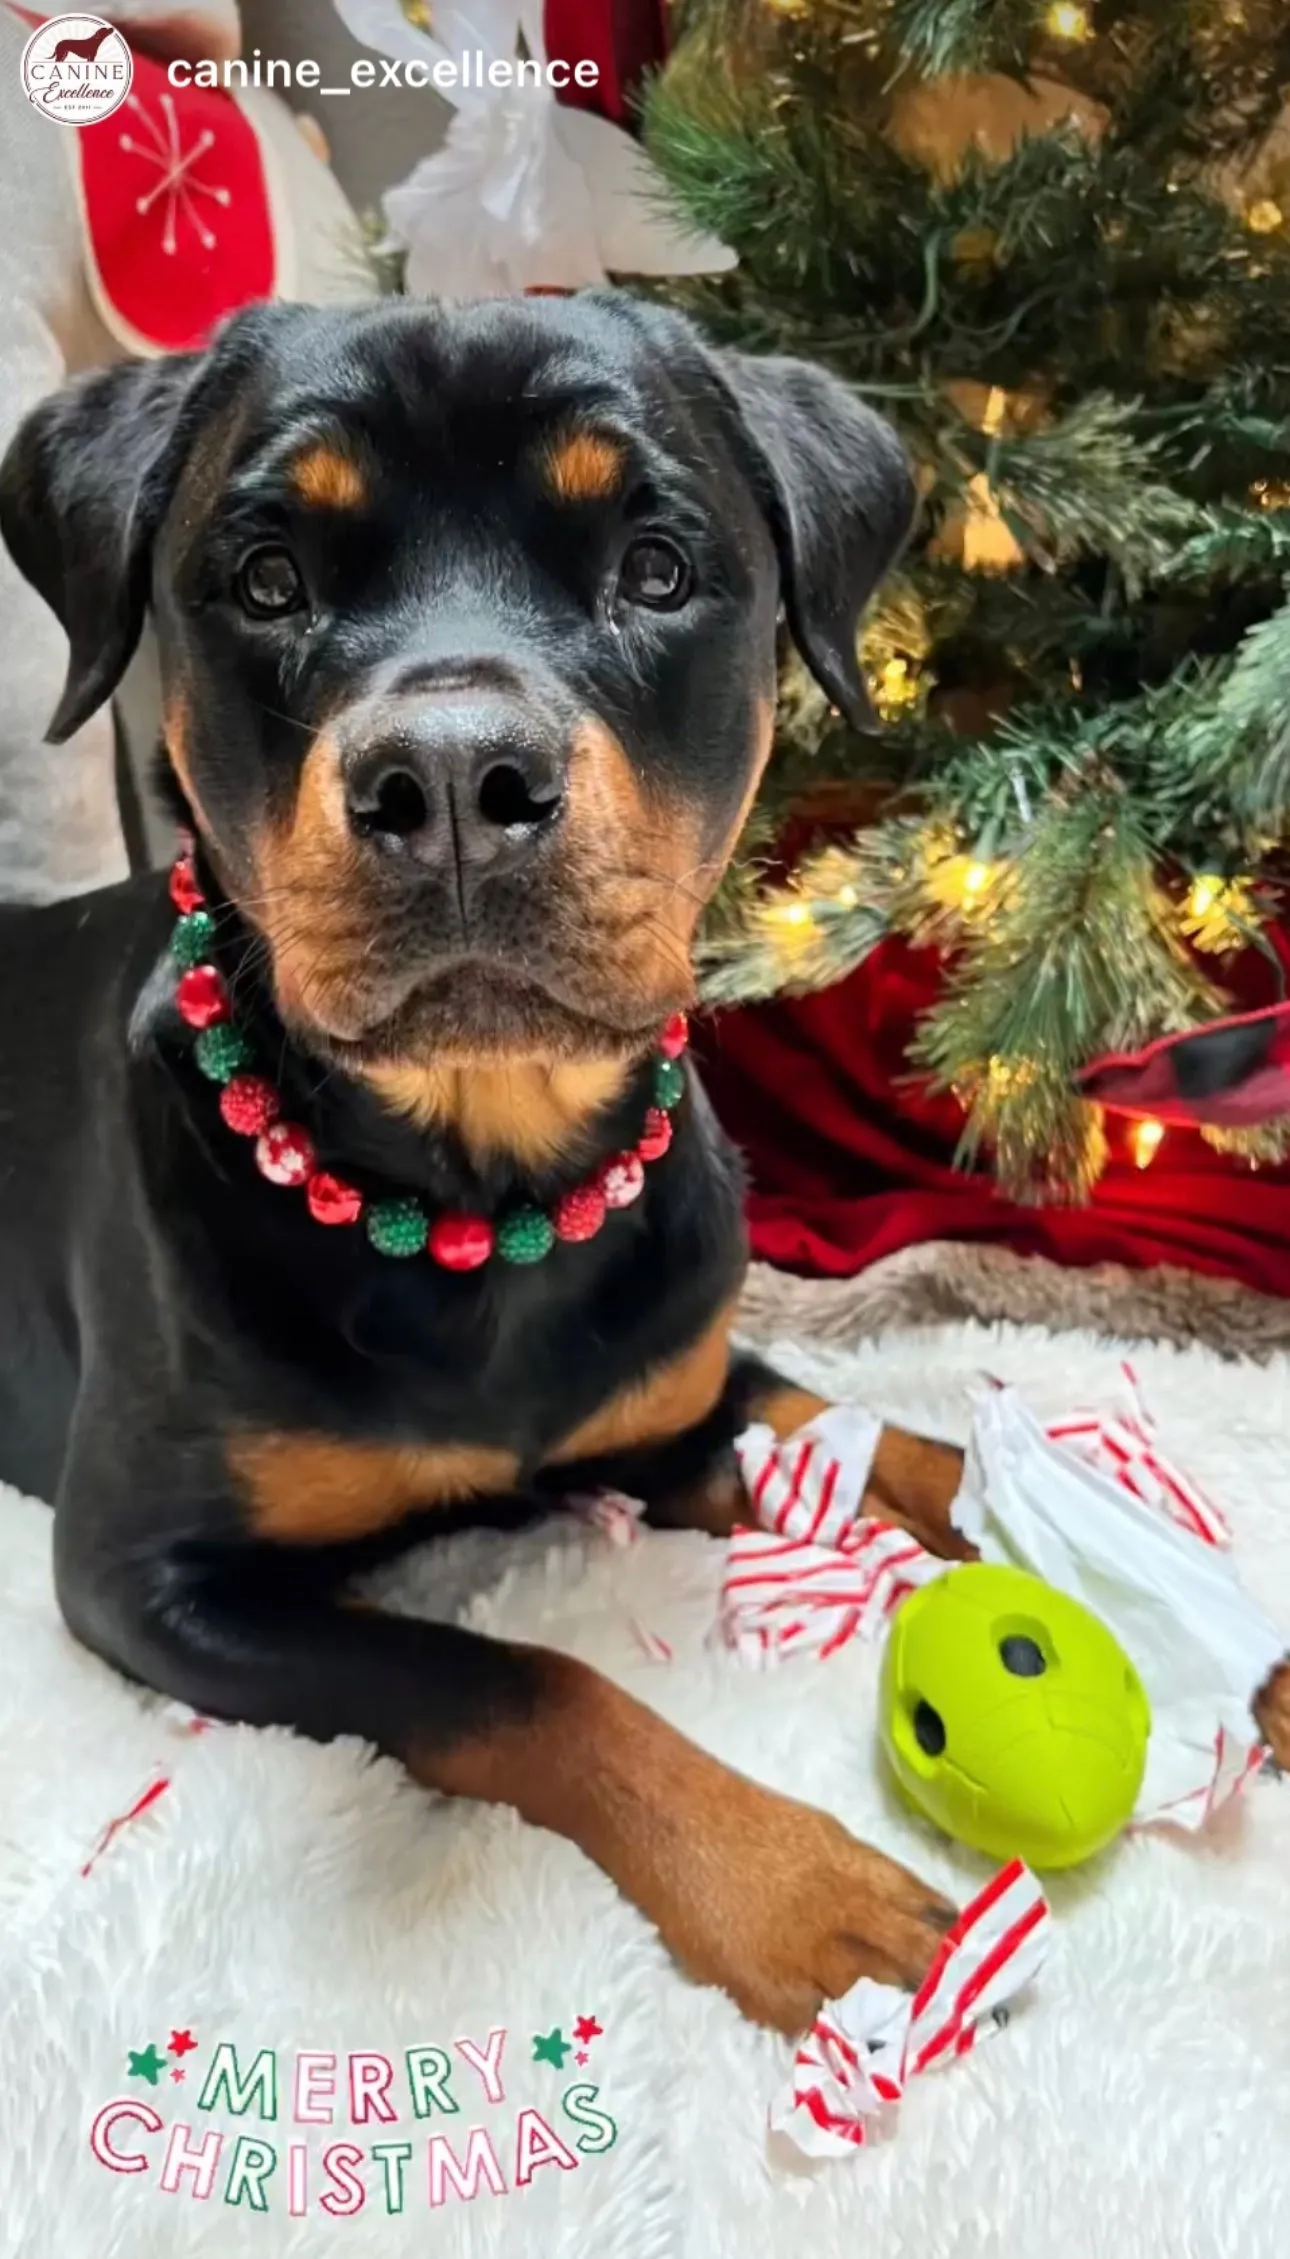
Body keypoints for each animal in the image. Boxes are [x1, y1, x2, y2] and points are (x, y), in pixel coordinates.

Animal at [0, 291, 966, 2042]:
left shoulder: (668, 1384)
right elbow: (514, 1674)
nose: (451, 777)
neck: (480, 1188)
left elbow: (898, 1444)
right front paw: (794, 1883)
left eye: (654, 564)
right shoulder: (140, 1568)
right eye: (267, 578)